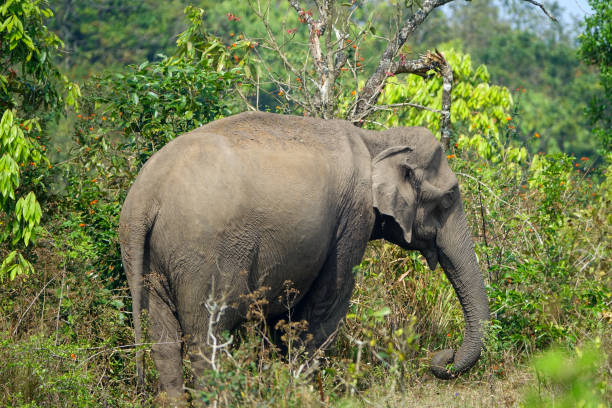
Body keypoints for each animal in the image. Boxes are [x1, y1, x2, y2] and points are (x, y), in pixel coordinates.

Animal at [119, 110, 490, 400]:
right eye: (448, 199)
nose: (443, 357)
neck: (376, 139)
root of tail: (145, 197)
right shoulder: (351, 219)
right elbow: (325, 307)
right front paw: (307, 392)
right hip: (207, 256)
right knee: (207, 339)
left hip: (150, 259)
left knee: (165, 342)